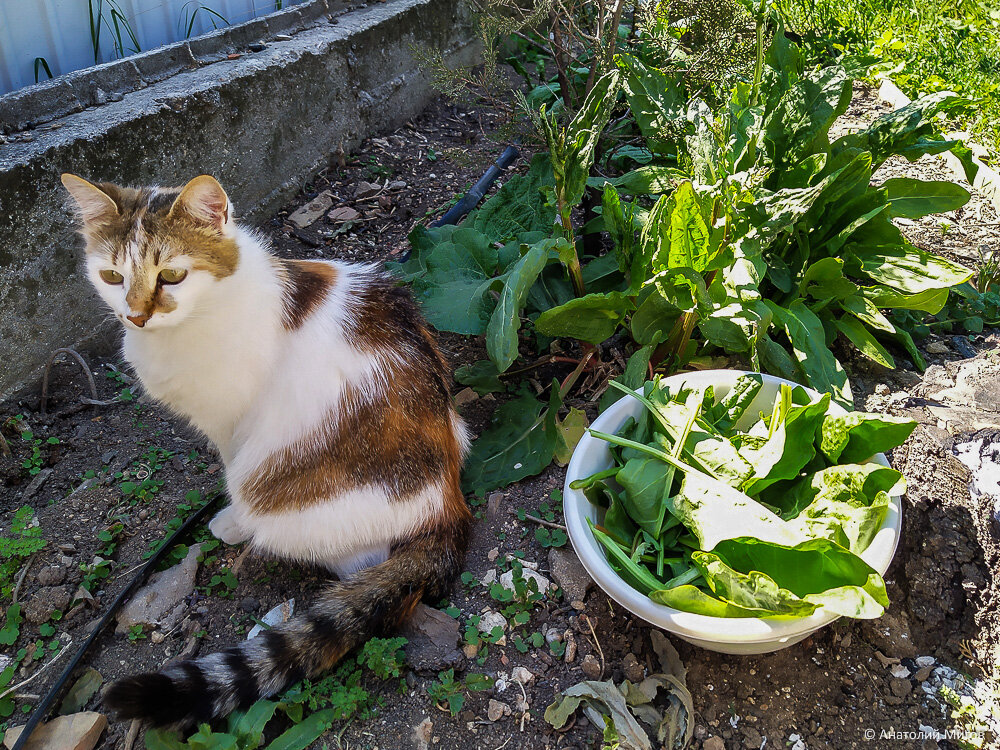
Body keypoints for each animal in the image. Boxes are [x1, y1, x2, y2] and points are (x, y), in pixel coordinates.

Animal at [60, 175, 474, 728]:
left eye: (172, 275)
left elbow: (229, 466)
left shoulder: (232, 424)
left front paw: (230, 521)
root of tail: (449, 503)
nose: (136, 316)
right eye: (110, 275)